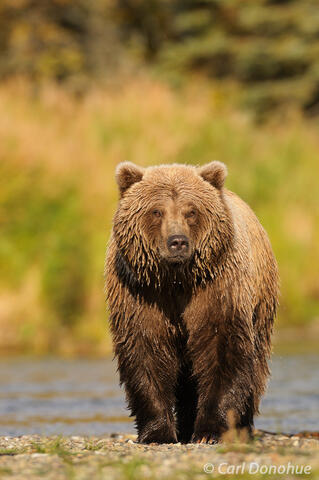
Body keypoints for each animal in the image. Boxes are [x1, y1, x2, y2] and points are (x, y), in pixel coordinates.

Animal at [105, 163, 280, 444]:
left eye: (191, 211)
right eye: (156, 211)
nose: (177, 241)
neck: (176, 279)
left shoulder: (218, 287)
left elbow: (222, 347)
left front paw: (209, 431)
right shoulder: (142, 294)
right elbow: (145, 350)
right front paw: (157, 432)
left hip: (261, 299)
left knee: (256, 364)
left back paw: (241, 425)